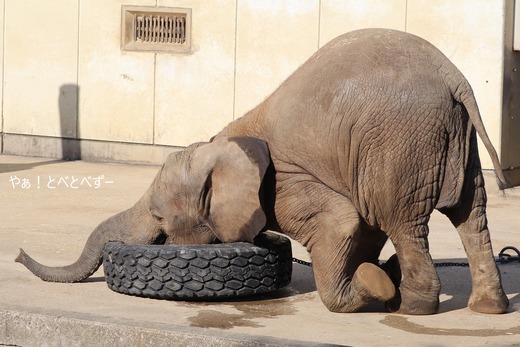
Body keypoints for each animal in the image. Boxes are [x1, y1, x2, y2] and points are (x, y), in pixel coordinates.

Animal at [15, 28, 508, 316]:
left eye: (158, 218)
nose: (17, 255)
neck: (220, 144)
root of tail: (454, 77)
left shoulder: (284, 184)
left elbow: (345, 221)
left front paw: (374, 286)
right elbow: (361, 225)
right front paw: (378, 274)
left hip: (398, 139)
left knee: (402, 219)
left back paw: (413, 308)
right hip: (450, 140)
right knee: (471, 214)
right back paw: (489, 308)